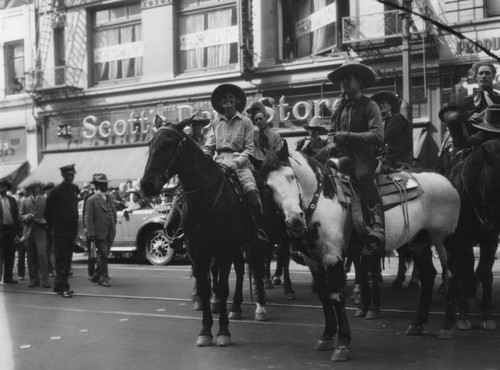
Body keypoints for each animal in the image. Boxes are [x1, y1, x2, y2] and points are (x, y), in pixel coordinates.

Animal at [141, 119, 270, 346]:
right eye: (150, 144)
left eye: (168, 143)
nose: (147, 184)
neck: (205, 198)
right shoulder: (198, 252)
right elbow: (205, 286)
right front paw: (205, 331)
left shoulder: (224, 249)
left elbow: (222, 287)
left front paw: (223, 331)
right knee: (240, 270)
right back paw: (236, 307)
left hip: (254, 244)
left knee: (256, 268)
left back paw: (260, 308)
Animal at [262, 142, 460, 358]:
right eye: (268, 186)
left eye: (291, 176)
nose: (294, 220)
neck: (321, 199)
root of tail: (445, 180)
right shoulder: (313, 262)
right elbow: (324, 298)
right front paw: (326, 337)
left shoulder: (333, 257)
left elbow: (336, 297)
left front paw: (343, 344)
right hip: (418, 241)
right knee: (428, 275)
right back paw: (417, 324)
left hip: (444, 239)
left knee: (450, 275)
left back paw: (448, 326)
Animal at [440, 138, 500, 336]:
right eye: (493, 183)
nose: (492, 223)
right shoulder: (462, 238)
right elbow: (463, 270)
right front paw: (463, 317)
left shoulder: (490, 238)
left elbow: (484, 272)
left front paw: (487, 315)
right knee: (456, 269)